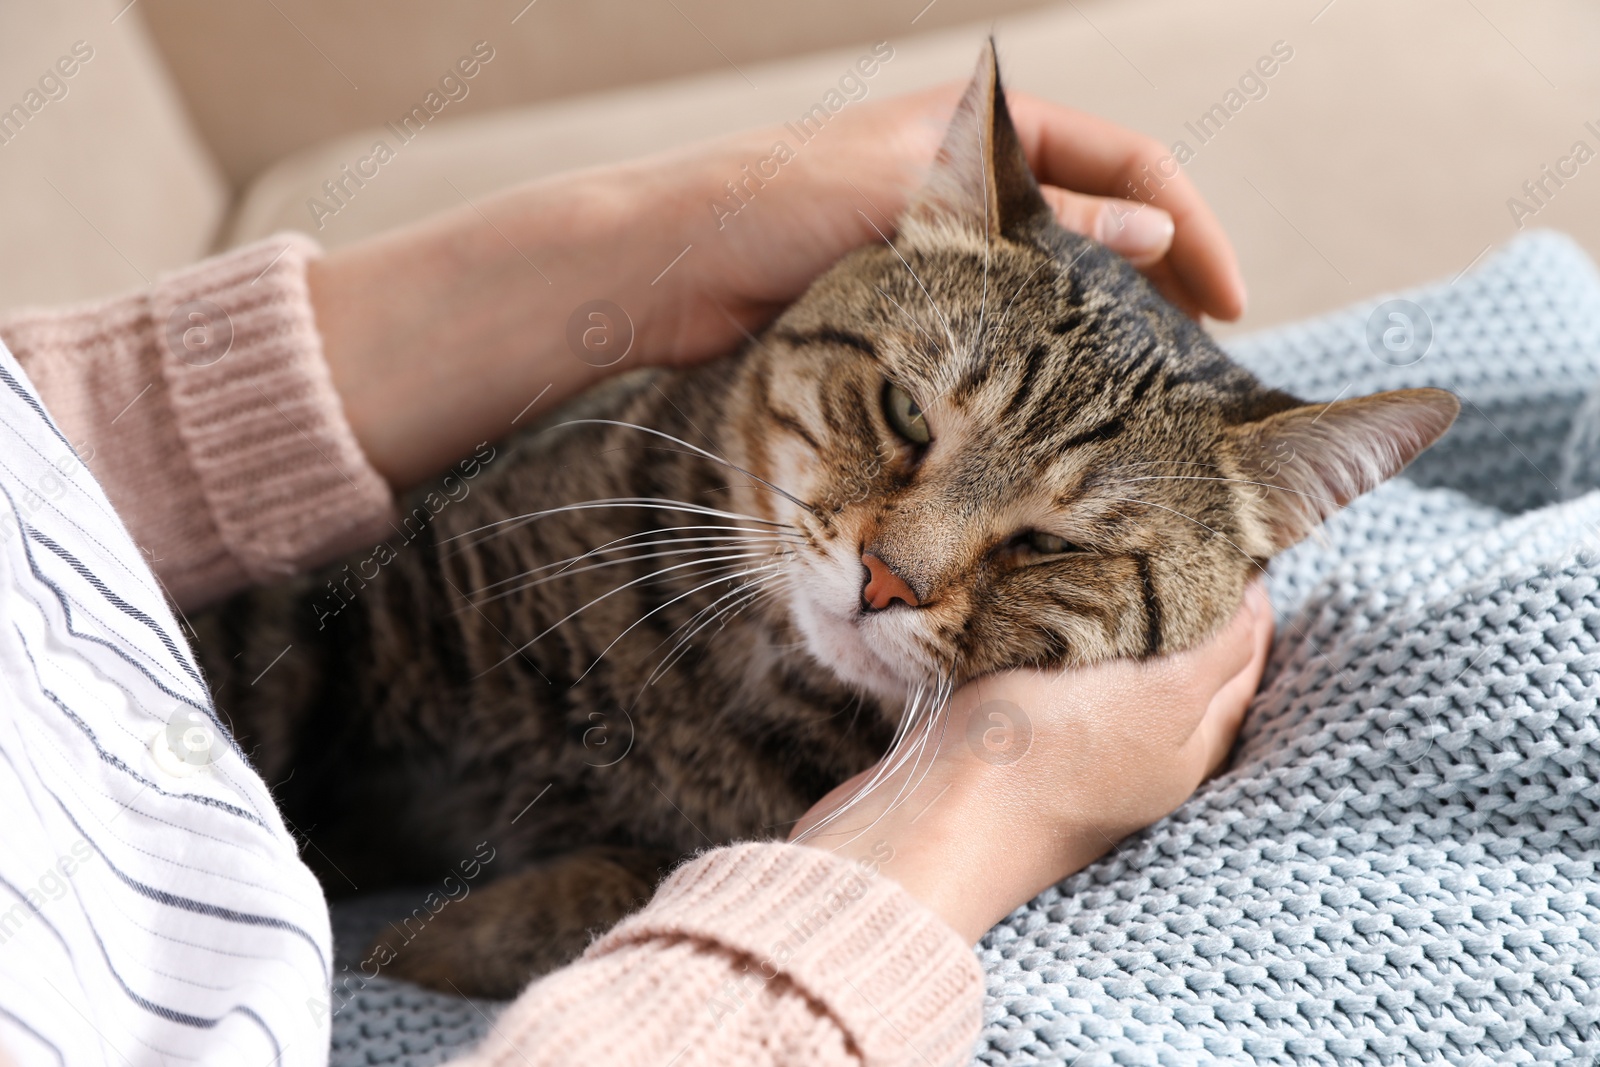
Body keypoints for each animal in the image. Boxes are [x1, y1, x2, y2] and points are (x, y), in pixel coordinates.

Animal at [193, 45, 1459, 998]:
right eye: (905, 410)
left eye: (1055, 544)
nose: (884, 580)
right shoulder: (360, 596)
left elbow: (618, 889)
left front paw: (430, 936)